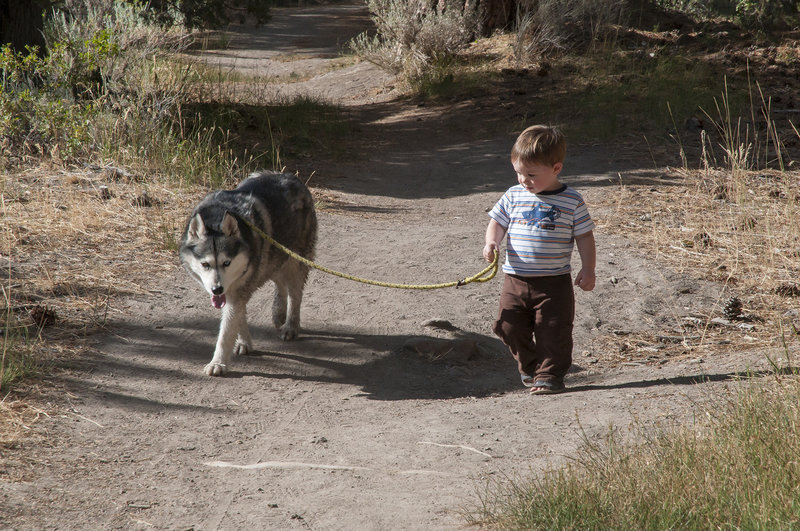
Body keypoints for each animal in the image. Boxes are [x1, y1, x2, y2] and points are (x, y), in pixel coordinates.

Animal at [180, 172, 318, 376]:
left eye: (226, 263)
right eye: (205, 264)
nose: (217, 289)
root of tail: (290, 176)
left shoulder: (237, 290)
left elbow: (226, 331)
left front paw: (218, 363)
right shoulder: (234, 290)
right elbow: (239, 318)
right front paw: (244, 341)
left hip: (294, 261)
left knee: (295, 294)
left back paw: (291, 326)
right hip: (272, 260)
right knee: (279, 283)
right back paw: (278, 312)